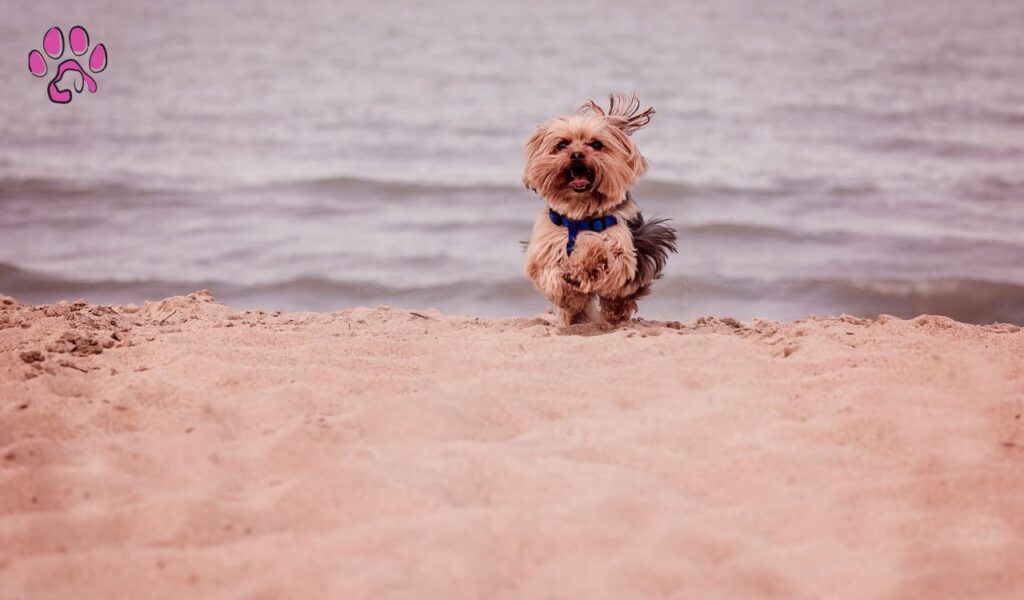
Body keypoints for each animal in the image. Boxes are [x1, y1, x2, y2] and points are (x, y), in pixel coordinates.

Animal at [524, 93, 675, 325]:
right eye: (562, 144)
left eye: (596, 144)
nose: (577, 154)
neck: (580, 214)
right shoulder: (546, 247)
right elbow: (553, 277)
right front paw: (571, 296)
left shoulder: (622, 247)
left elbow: (602, 252)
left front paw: (587, 261)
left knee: (620, 296)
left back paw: (613, 313)